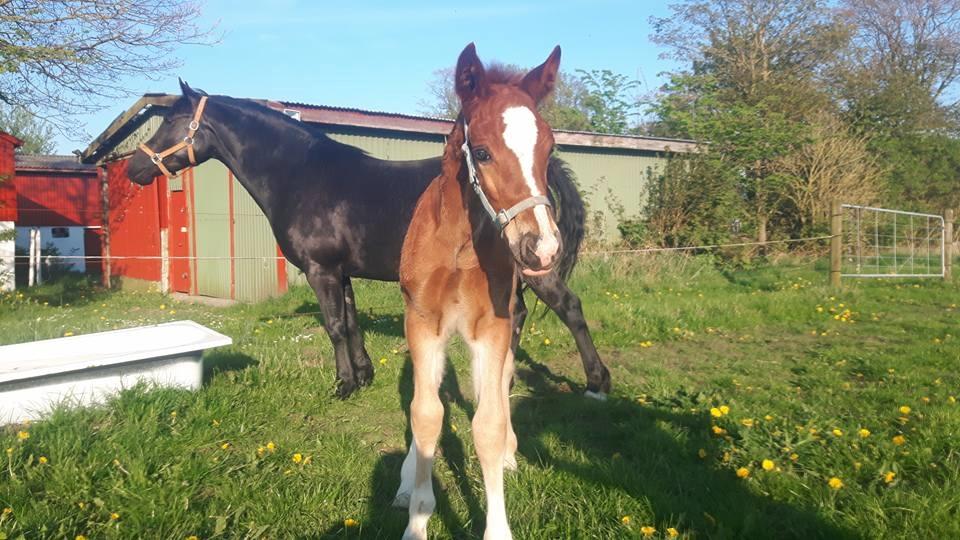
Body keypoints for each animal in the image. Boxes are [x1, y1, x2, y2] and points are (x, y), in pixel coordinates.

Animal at [127, 81, 612, 400]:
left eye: (172, 121)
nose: (134, 167)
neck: (302, 176)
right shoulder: (340, 271)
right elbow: (351, 320)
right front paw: (362, 375)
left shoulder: (321, 270)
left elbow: (335, 326)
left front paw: (343, 385)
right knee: (518, 315)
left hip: (535, 261)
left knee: (569, 307)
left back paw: (596, 381)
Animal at [394, 44, 564, 536]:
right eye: (483, 152)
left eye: (550, 148)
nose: (543, 248)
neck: (459, 245)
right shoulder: (422, 321)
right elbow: (426, 414)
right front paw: (417, 517)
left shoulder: (493, 324)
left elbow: (487, 424)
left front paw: (497, 527)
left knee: (501, 382)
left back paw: (509, 451)